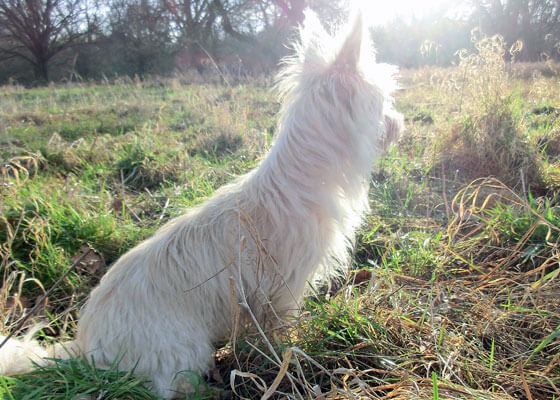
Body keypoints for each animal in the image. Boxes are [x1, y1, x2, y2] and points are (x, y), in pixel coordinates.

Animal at [0, 10, 402, 398]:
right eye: (385, 100)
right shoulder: (281, 291)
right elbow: (281, 333)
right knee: (173, 388)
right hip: (181, 351)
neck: (303, 174)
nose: (401, 124)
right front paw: (291, 353)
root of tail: (85, 349)